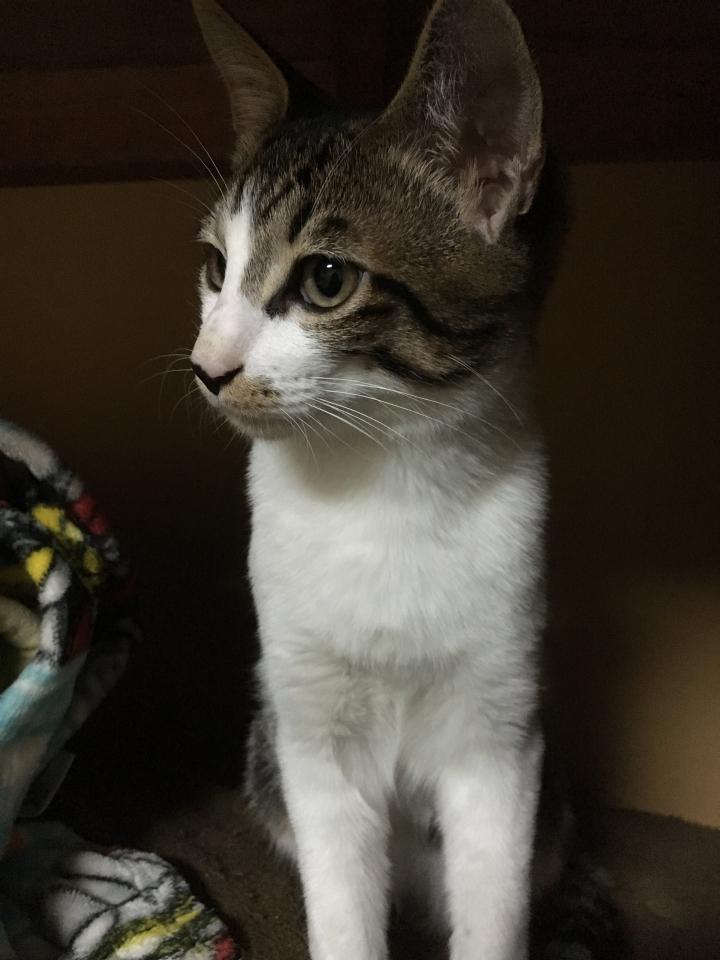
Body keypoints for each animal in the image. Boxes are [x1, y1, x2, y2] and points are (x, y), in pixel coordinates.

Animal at [189, 1, 617, 958]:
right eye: (214, 268)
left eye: (326, 279)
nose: (208, 366)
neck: (379, 486)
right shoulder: (308, 724)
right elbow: (342, 897)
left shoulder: (501, 729)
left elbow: (492, 901)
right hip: (264, 749)